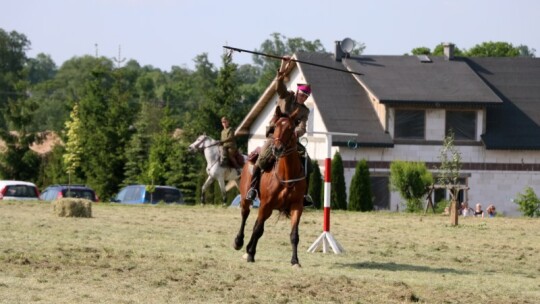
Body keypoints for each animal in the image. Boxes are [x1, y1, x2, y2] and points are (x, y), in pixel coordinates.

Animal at [233, 108, 306, 264]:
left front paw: (295, 260)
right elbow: (258, 229)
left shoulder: (297, 206)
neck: (286, 175)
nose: (277, 148)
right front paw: (250, 254)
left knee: (256, 223)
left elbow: (294, 234)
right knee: (245, 215)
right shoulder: (266, 204)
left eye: (291, 128)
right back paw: (239, 242)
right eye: (275, 126)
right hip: (246, 199)